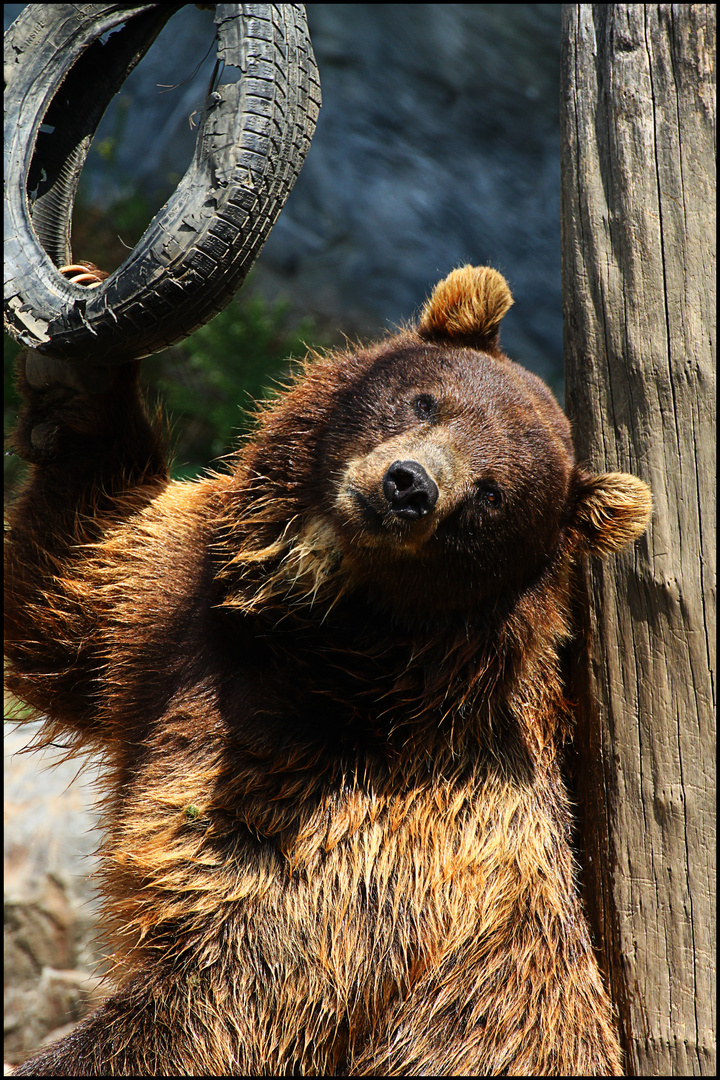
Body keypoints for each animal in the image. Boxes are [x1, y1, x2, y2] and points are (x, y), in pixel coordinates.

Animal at [5, 267, 651, 1071]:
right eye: (429, 400)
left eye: (493, 494)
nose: (409, 487)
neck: (320, 655)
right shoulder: (176, 620)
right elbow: (71, 590)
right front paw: (76, 373)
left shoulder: (355, 835)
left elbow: (214, 1001)